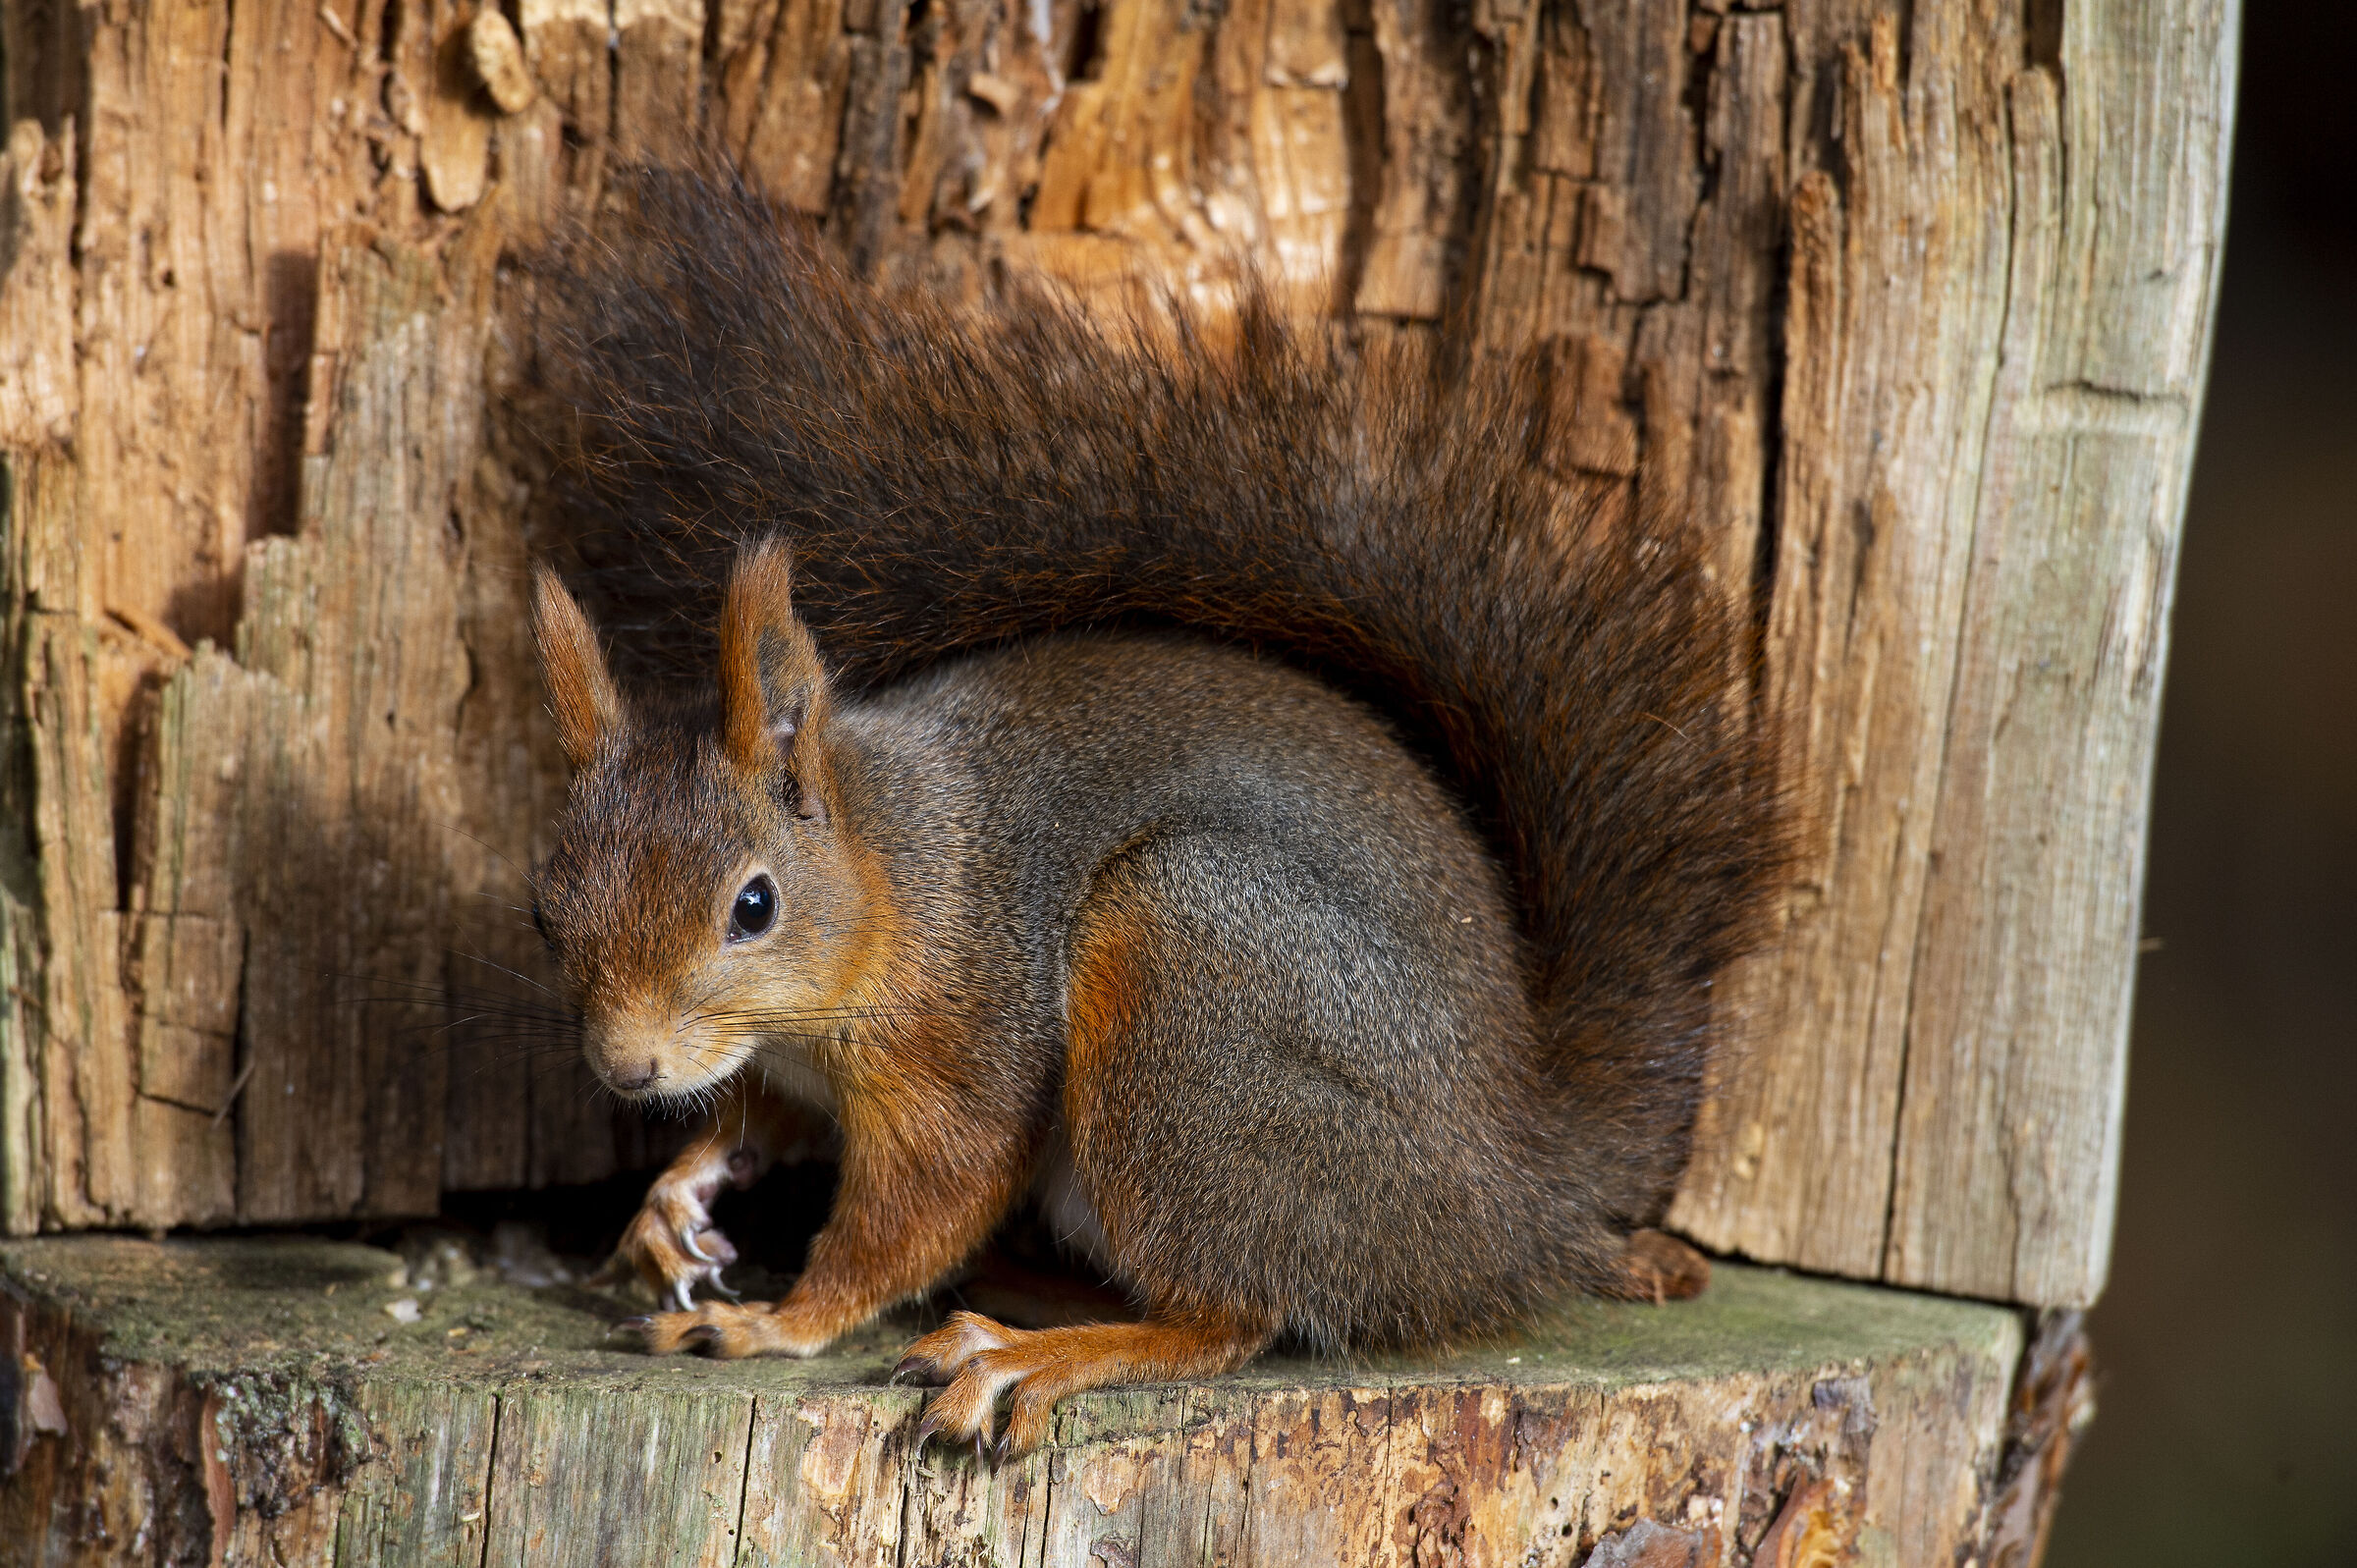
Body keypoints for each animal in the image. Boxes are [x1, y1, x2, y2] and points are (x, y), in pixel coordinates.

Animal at [520, 161, 1787, 1462]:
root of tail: (1517, 1188)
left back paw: (1029, 1352)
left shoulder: (965, 1042)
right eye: (545, 912)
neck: (895, 868)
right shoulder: (784, 1060)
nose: (626, 1068)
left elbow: (917, 1208)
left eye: (754, 905)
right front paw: (668, 1200)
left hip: (1192, 986)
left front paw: (782, 1318)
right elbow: (755, 1115)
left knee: (1232, 1313)